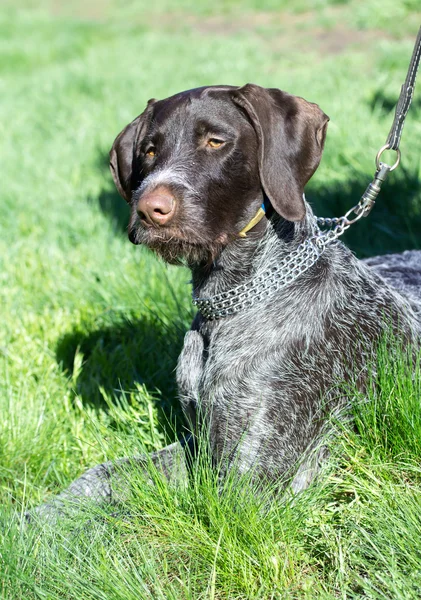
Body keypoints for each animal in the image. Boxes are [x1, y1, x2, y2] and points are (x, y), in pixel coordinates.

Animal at [29, 85, 420, 520]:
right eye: (149, 150)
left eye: (216, 141)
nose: (149, 210)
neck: (233, 301)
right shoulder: (200, 445)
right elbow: (105, 475)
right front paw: (37, 519)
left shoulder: (246, 487)